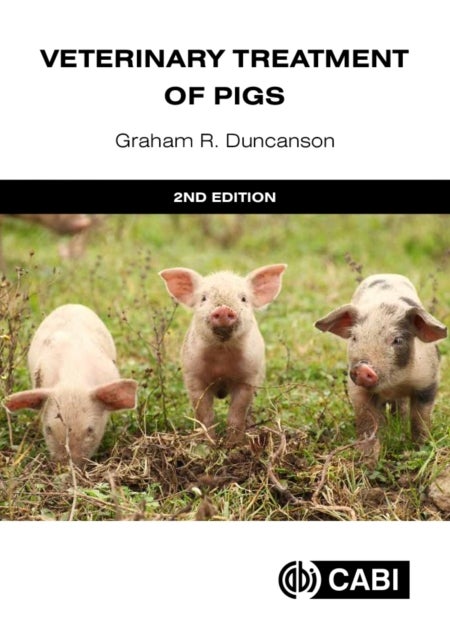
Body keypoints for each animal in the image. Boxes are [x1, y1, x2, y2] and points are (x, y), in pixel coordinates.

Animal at [159, 264, 287, 446]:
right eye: (203, 298)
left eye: (243, 298)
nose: (224, 309)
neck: (221, 357)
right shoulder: (193, 377)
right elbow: (204, 416)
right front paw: (208, 445)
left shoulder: (248, 378)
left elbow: (236, 415)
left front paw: (233, 445)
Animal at [314, 274, 447, 462]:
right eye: (354, 337)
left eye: (397, 340)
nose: (363, 368)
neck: (394, 384)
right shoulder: (357, 389)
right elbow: (367, 422)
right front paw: (367, 459)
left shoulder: (428, 380)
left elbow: (420, 419)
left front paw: (421, 449)